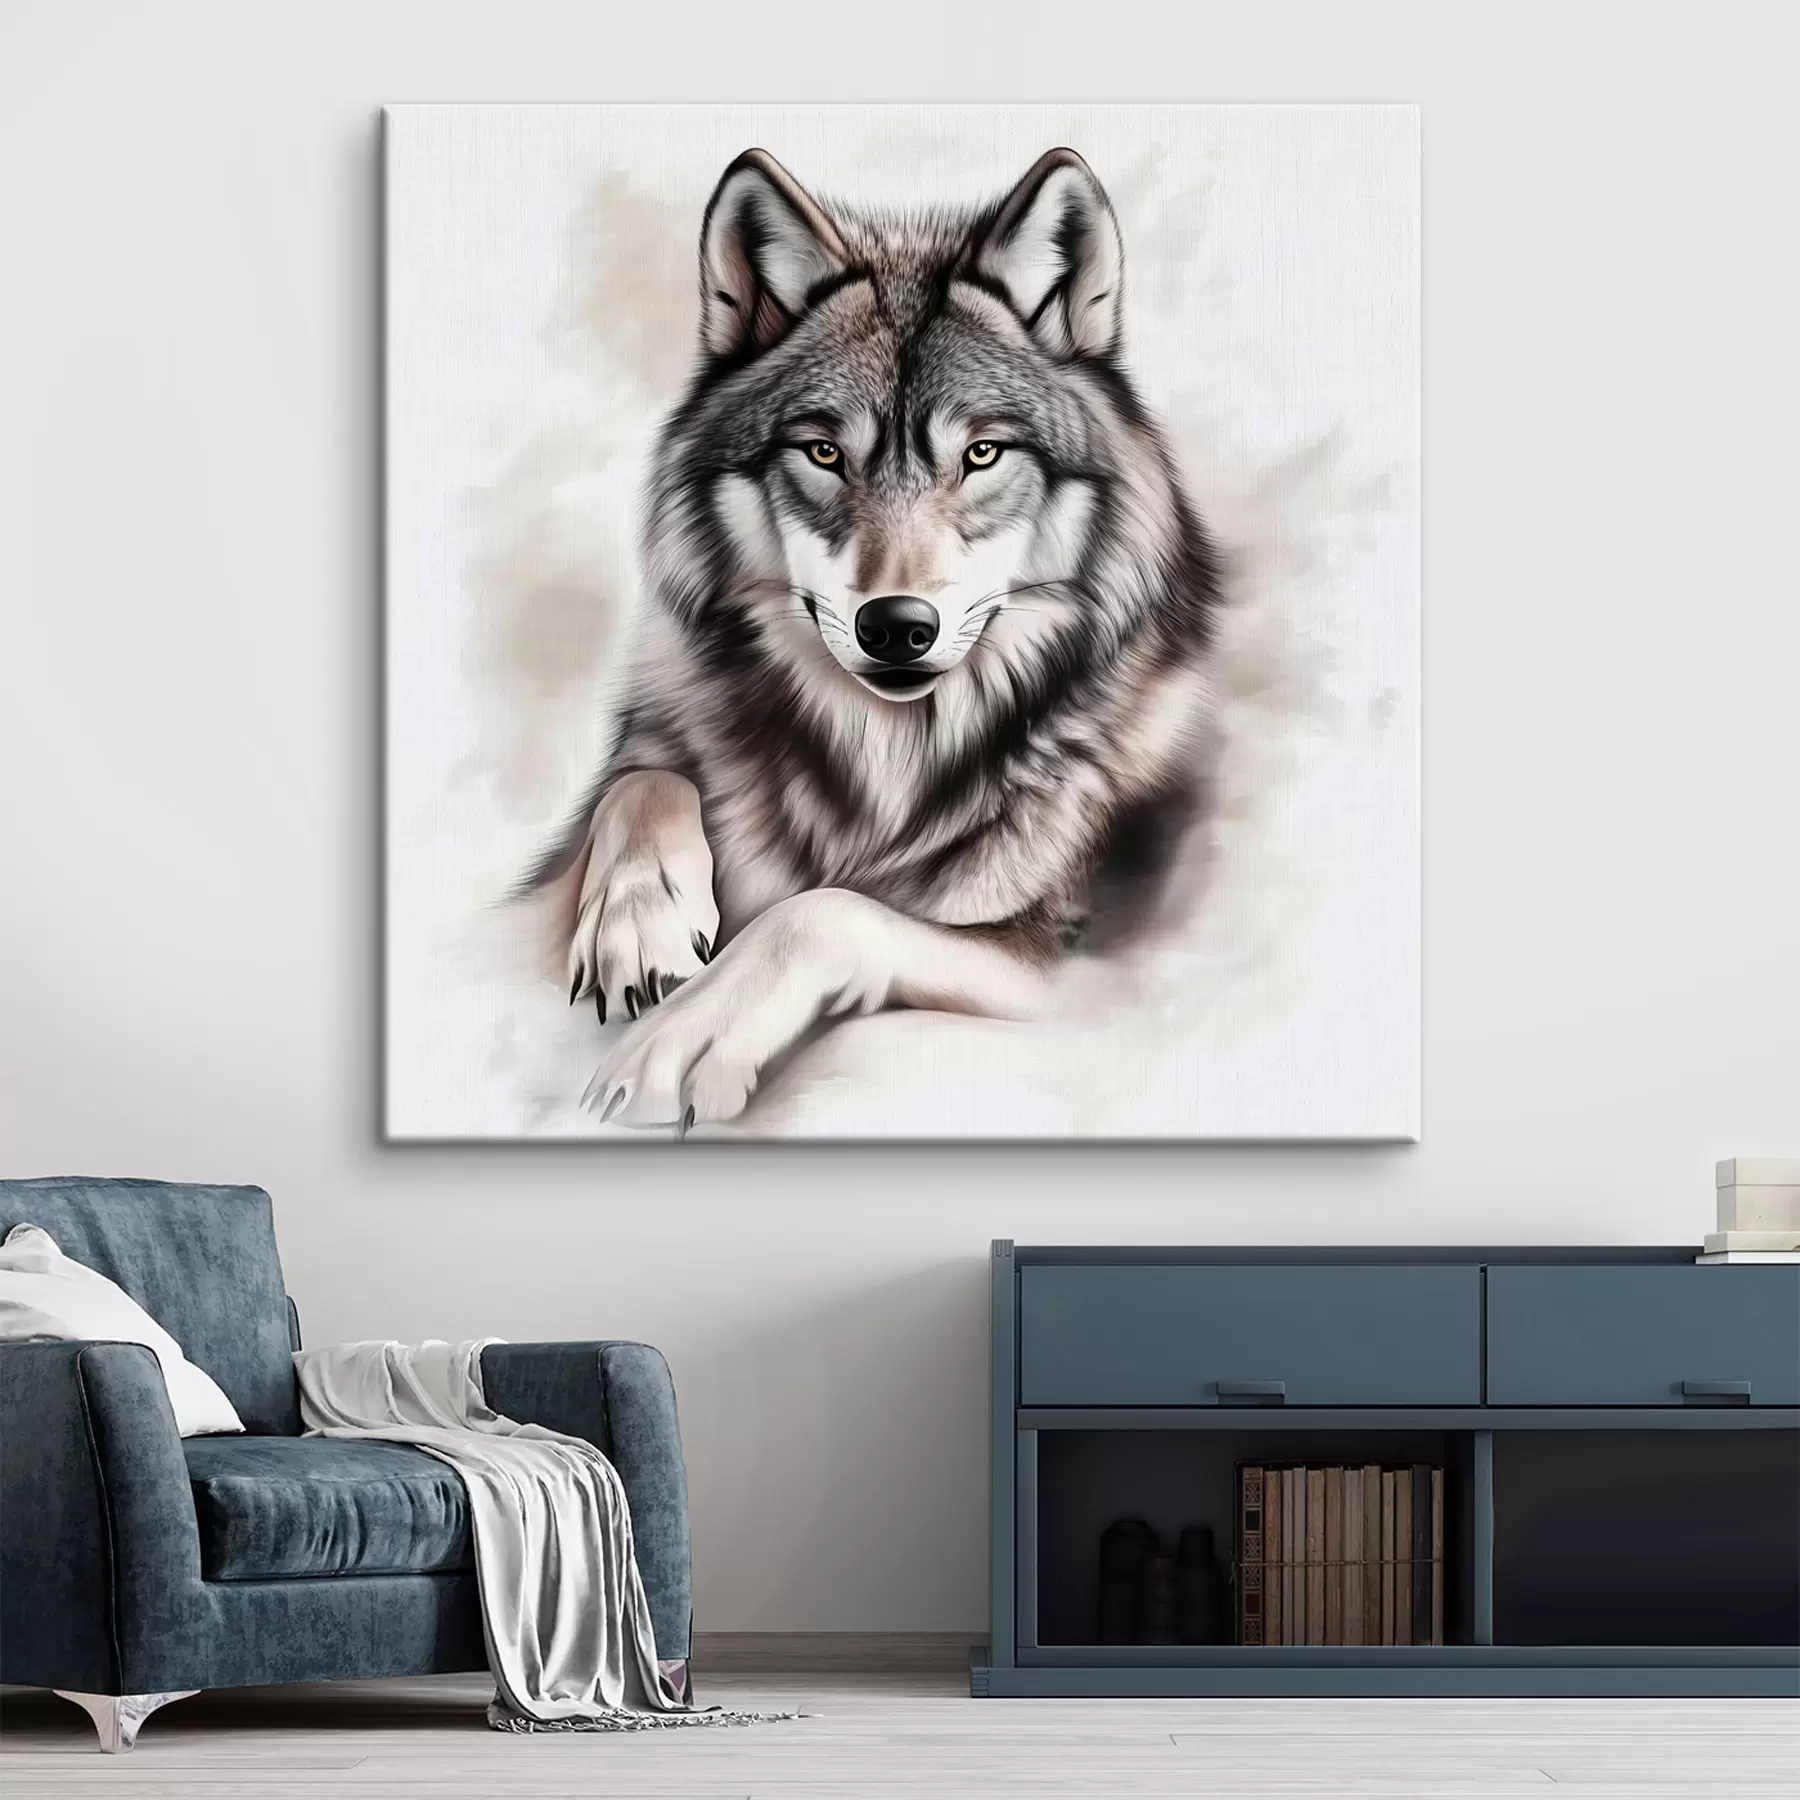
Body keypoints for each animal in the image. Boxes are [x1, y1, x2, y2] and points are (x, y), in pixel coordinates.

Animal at [530, 146, 1223, 1130]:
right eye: (824, 453)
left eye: (982, 454)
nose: (897, 626)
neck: (886, 760)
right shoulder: (656, 726)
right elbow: (642, 781)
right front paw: (640, 924)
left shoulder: (1077, 967)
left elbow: (821, 910)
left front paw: (686, 1035)